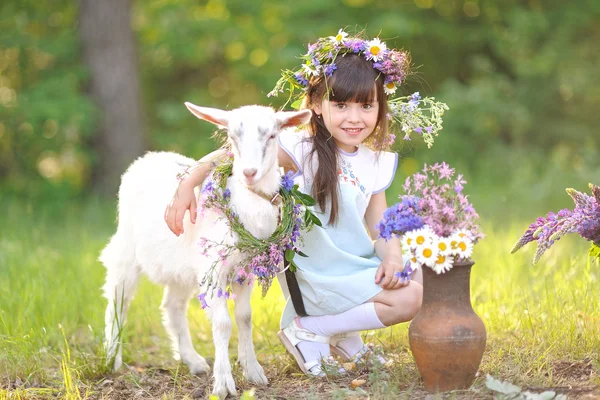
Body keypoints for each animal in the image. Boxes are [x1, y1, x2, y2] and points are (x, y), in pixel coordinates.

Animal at [100, 103, 312, 396]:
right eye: (232, 137)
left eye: (272, 136)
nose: (249, 172)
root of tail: (149, 157)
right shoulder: (215, 271)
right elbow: (222, 323)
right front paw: (223, 383)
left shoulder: (244, 270)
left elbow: (245, 317)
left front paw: (253, 370)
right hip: (126, 251)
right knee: (118, 301)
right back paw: (112, 358)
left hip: (184, 268)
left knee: (173, 306)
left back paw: (193, 360)